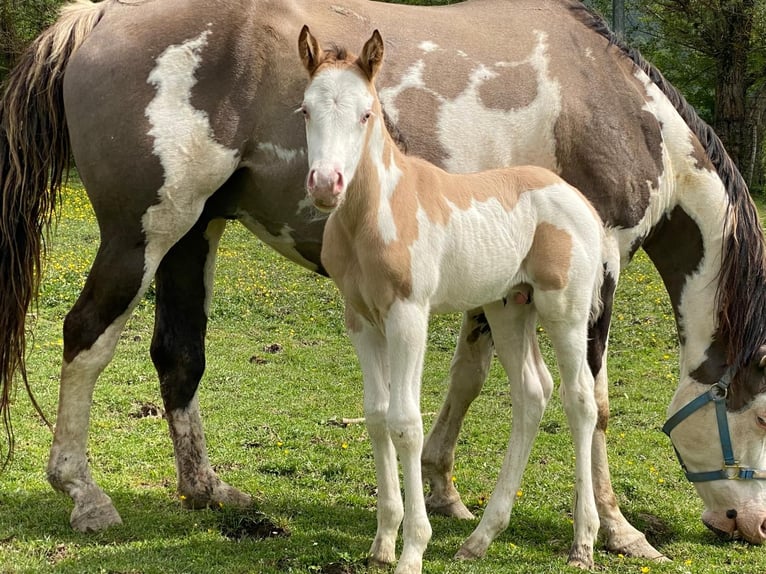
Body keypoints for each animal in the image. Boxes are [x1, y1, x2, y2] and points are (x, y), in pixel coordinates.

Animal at [300, 28, 616, 574]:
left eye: (366, 113)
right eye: (304, 110)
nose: (325, 184)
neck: (374, 215)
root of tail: (581, 202)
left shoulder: (409, 316)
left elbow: (405, 423)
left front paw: (413, 549)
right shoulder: (361, 320)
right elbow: (376, 416)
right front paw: (383, 543)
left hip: (566, 312)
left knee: (579, 400)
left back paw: (583, 542)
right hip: (510, 307)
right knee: (532, 392)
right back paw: (481, 538)